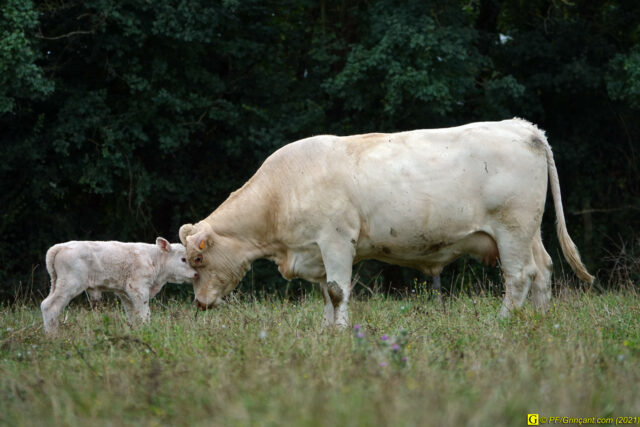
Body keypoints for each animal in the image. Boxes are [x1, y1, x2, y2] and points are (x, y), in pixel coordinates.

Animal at [42, 237, 198, 334]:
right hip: (70, 284)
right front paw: (147, 330)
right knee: (50, 306)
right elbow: (144, 313)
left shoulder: (125, 293)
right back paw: (53, 336)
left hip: (56, 284)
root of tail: (60, 246)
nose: (196, 274)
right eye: (183, 259)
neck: (154, 260)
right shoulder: (138, 288)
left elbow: (132, 314)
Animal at [178, 118, 592, 330]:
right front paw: (327, 330)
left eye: (197, 260)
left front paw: (341, 331)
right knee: (543, 270)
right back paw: (540, 319)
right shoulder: (315, 251)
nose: (198, 303)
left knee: (519, 275)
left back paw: (503, 321)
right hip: (529, 230)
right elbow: (326, 293)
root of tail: (523, 127)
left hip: (512, 227)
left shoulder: (336, 240)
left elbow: (337, 290)